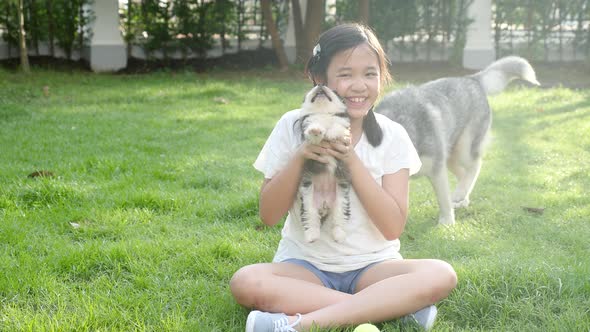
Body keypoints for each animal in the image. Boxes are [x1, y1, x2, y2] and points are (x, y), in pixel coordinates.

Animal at [296, 84, 352, 243]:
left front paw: (331, 133)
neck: (324, 112)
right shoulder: (307, 126)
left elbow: (338, 126)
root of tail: (325, 204)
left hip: (341, 201)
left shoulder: (344, 125)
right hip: (308, 202)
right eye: (314, 87)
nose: (320, 85)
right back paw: (311, 236)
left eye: (333, 90)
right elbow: (313, 130)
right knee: (310, 219)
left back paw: (339, 236)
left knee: (339, 220)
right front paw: (316, 129)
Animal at [380, 56, 540, 226]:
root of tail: (471, 79)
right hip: (450, 154)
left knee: (475, 165)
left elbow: (443, 199)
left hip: (464, 149)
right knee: (463, 174)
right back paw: (462, 196)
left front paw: (446, 222)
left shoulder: (436, 170)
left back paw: (459, 194)